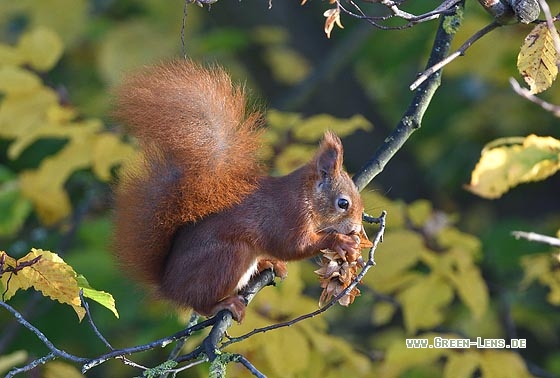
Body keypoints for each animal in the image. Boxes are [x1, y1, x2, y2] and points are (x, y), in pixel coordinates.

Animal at [114, 59, 368, 322]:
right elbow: (293, 246)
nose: (356, 228)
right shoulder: (288, 216)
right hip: (227, 259)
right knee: (200, 304)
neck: (305, 195)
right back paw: (223, 304)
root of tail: (168, 286)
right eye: (343, 203)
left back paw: (267, 263)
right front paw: (341, 242)